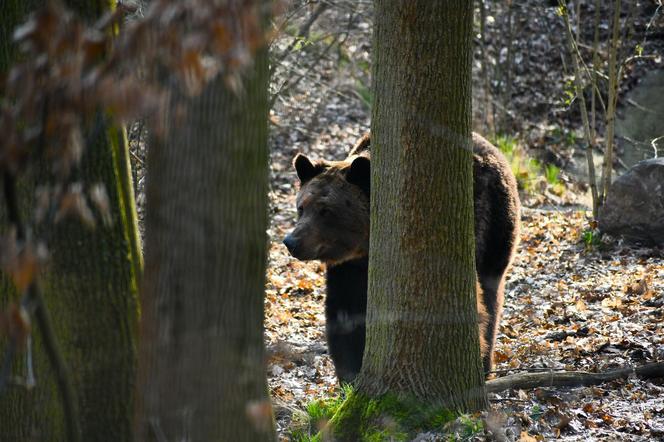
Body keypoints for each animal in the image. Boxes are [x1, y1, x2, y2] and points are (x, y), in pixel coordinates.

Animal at [282, 132, 520, 384]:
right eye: (301, 207)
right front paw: (351, 372)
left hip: (495, 230)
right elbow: (345, 314)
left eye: (325, 211)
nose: (291, 241)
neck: (366, 246)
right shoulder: (348, 267)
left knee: (490, 295)